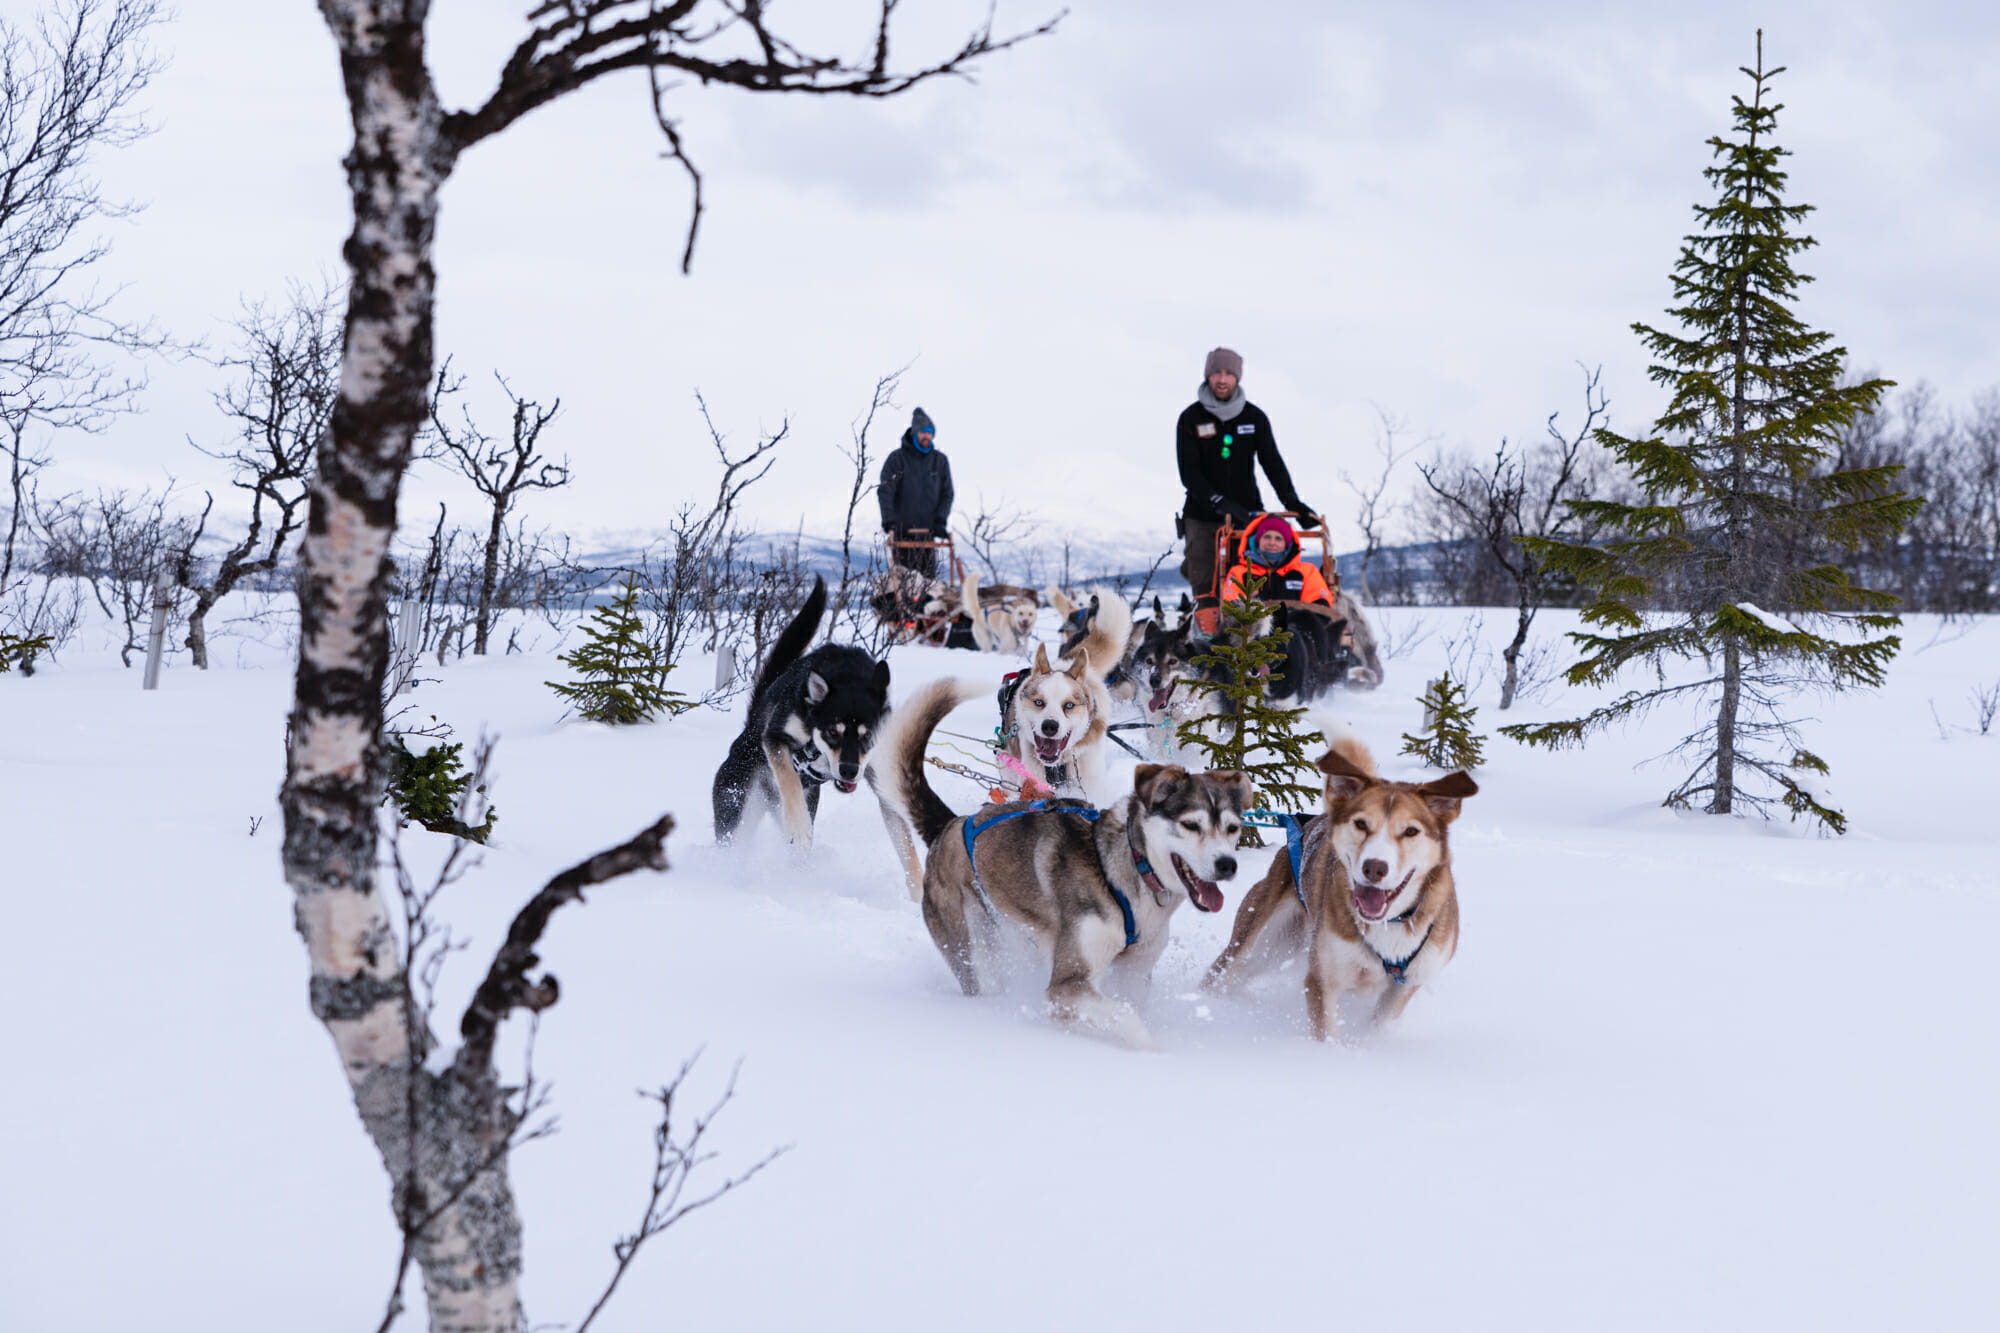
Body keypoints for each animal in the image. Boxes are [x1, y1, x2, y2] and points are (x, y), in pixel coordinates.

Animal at [880, 680, 1240, 1040]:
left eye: (1233, 827)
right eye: (1191, 824)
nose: (1227, 864)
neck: (1125, 871)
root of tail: (952, 825)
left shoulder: (1134, 975)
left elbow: (1132, 1007)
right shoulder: (1068, 985)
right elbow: (1128, 1019)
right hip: (972, 947)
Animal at [1200, 720, 1472, 1032]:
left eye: (1411, 831)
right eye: (1361, 824)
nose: (1374, 867)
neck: (1388, 924)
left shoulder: (1404, 987)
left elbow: (1377, 1025)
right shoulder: (1323, 979)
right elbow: (1327, 1031)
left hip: (1281, 945)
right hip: (1255, 941)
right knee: (1223, 973)